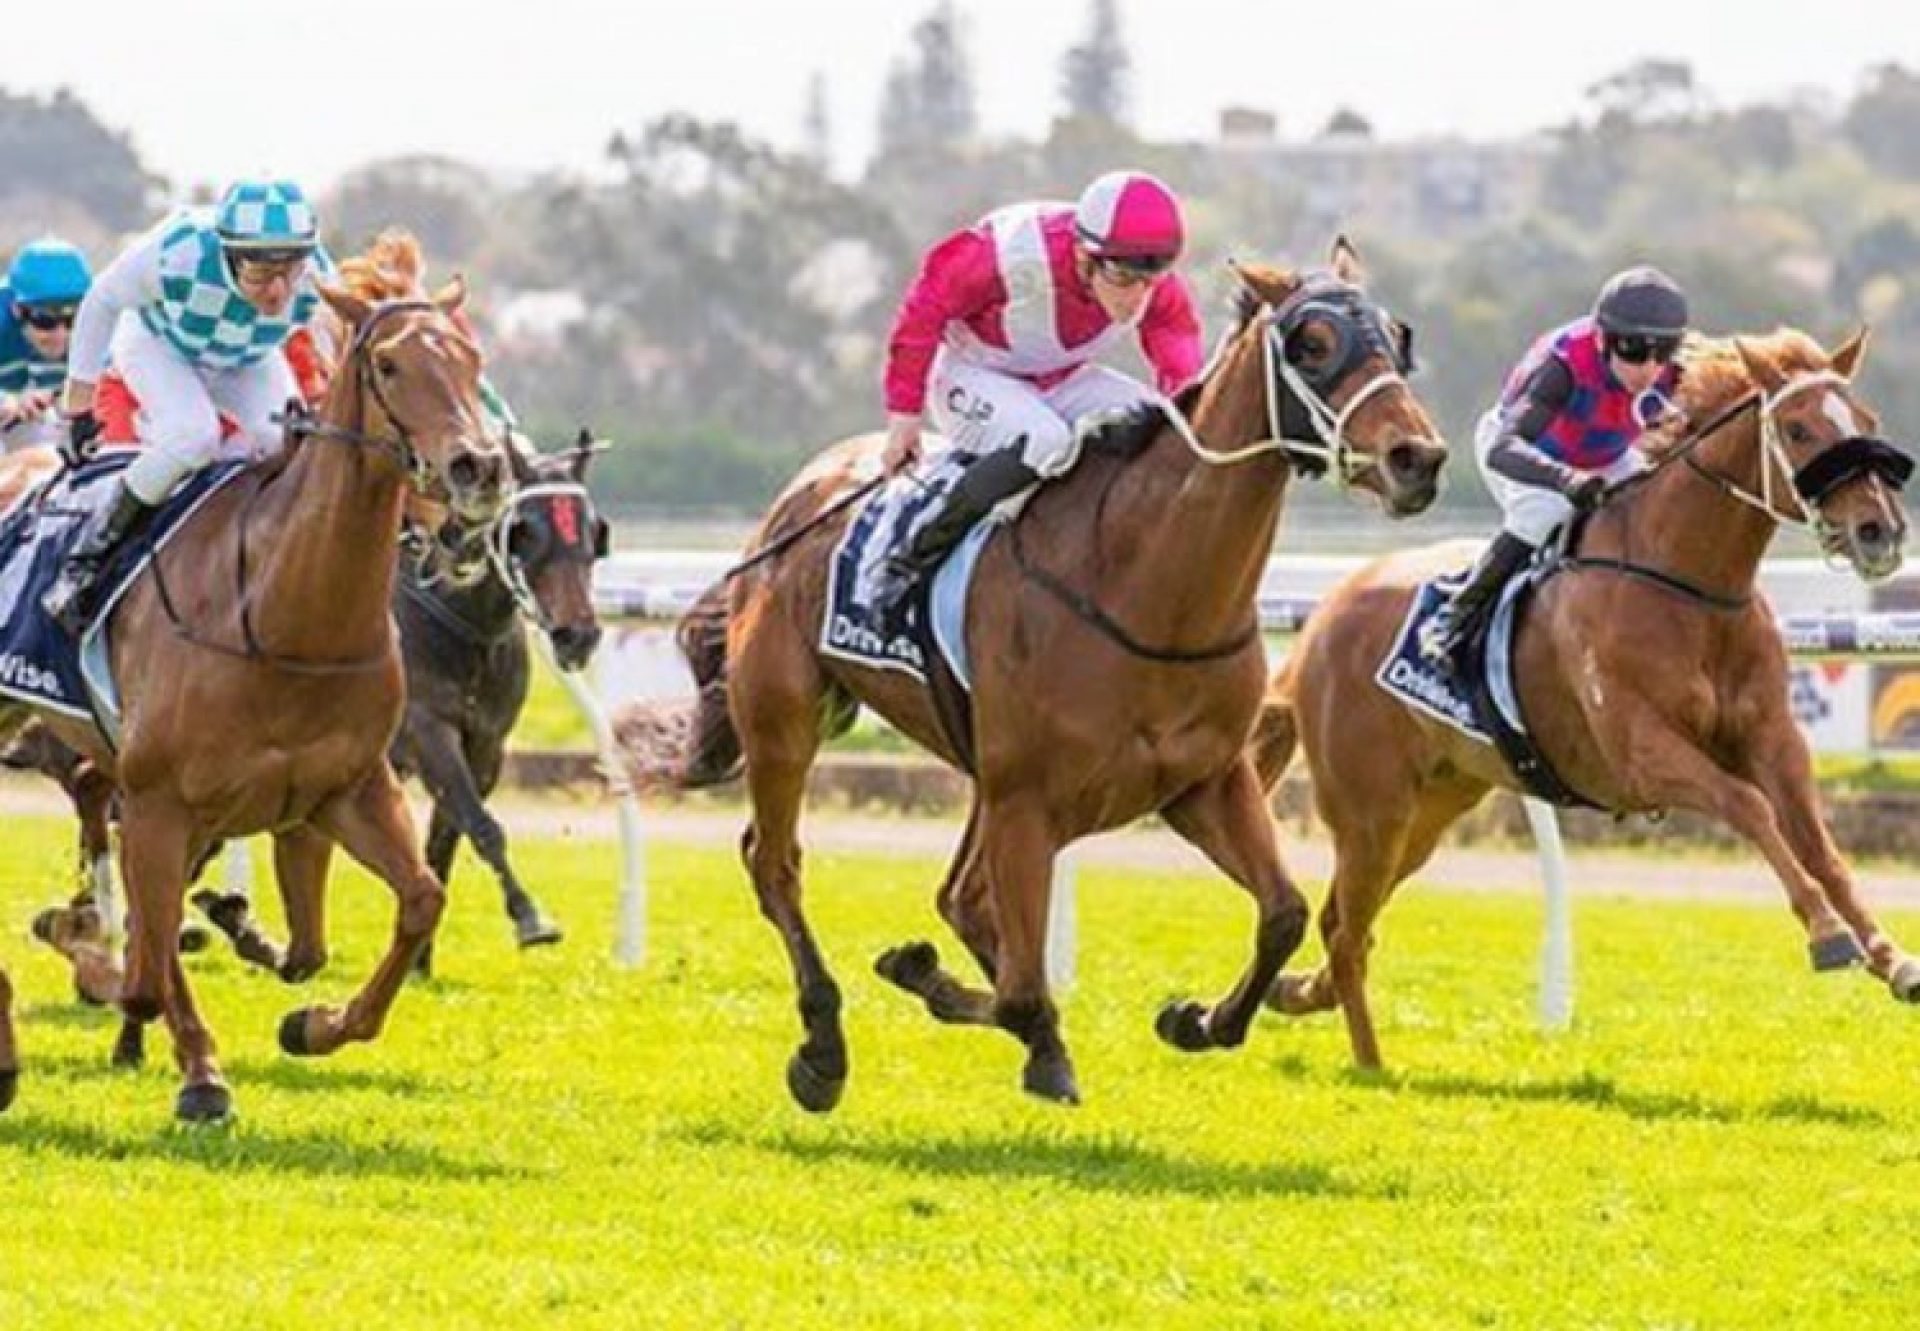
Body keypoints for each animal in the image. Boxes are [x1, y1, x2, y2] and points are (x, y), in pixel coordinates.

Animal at [0, 280, 510, 1121]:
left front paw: (310, 1021)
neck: (281, 611)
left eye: (473, 358)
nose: (480, 467)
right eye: (389, 363)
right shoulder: (159, 800)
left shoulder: (340, 791)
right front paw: (191, 1061)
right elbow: (143, 969)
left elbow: (398, 910)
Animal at [622, 241, 1443, 1113]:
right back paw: (823, 1045)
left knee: (960, 899)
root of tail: (797, 496)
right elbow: (1018, 988)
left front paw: (1194, 1017)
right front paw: (967, 1001)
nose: (1417, 458)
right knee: (776, 863)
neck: (1147, 586)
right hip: (785, 718)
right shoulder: (1028, 799)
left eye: (1397, 337)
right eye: (1313, 344)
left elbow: (1281, 913)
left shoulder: (1205, 780)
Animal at [1251, 324, 1912, 1067]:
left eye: (1865, 423)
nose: (1880, 531)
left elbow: (1820, 844)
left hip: (1433, 803)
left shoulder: (1774, 739)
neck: (1687, 581)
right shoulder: (1641, 755)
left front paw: (1891, 955)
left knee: (1347, 921)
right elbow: (1749, 806)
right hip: (1371, 808)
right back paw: (1370, 1065)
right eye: (1797, 429)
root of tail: (1321, 621)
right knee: (1345, 933)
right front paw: (1828, 932)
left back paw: (1294, 993)